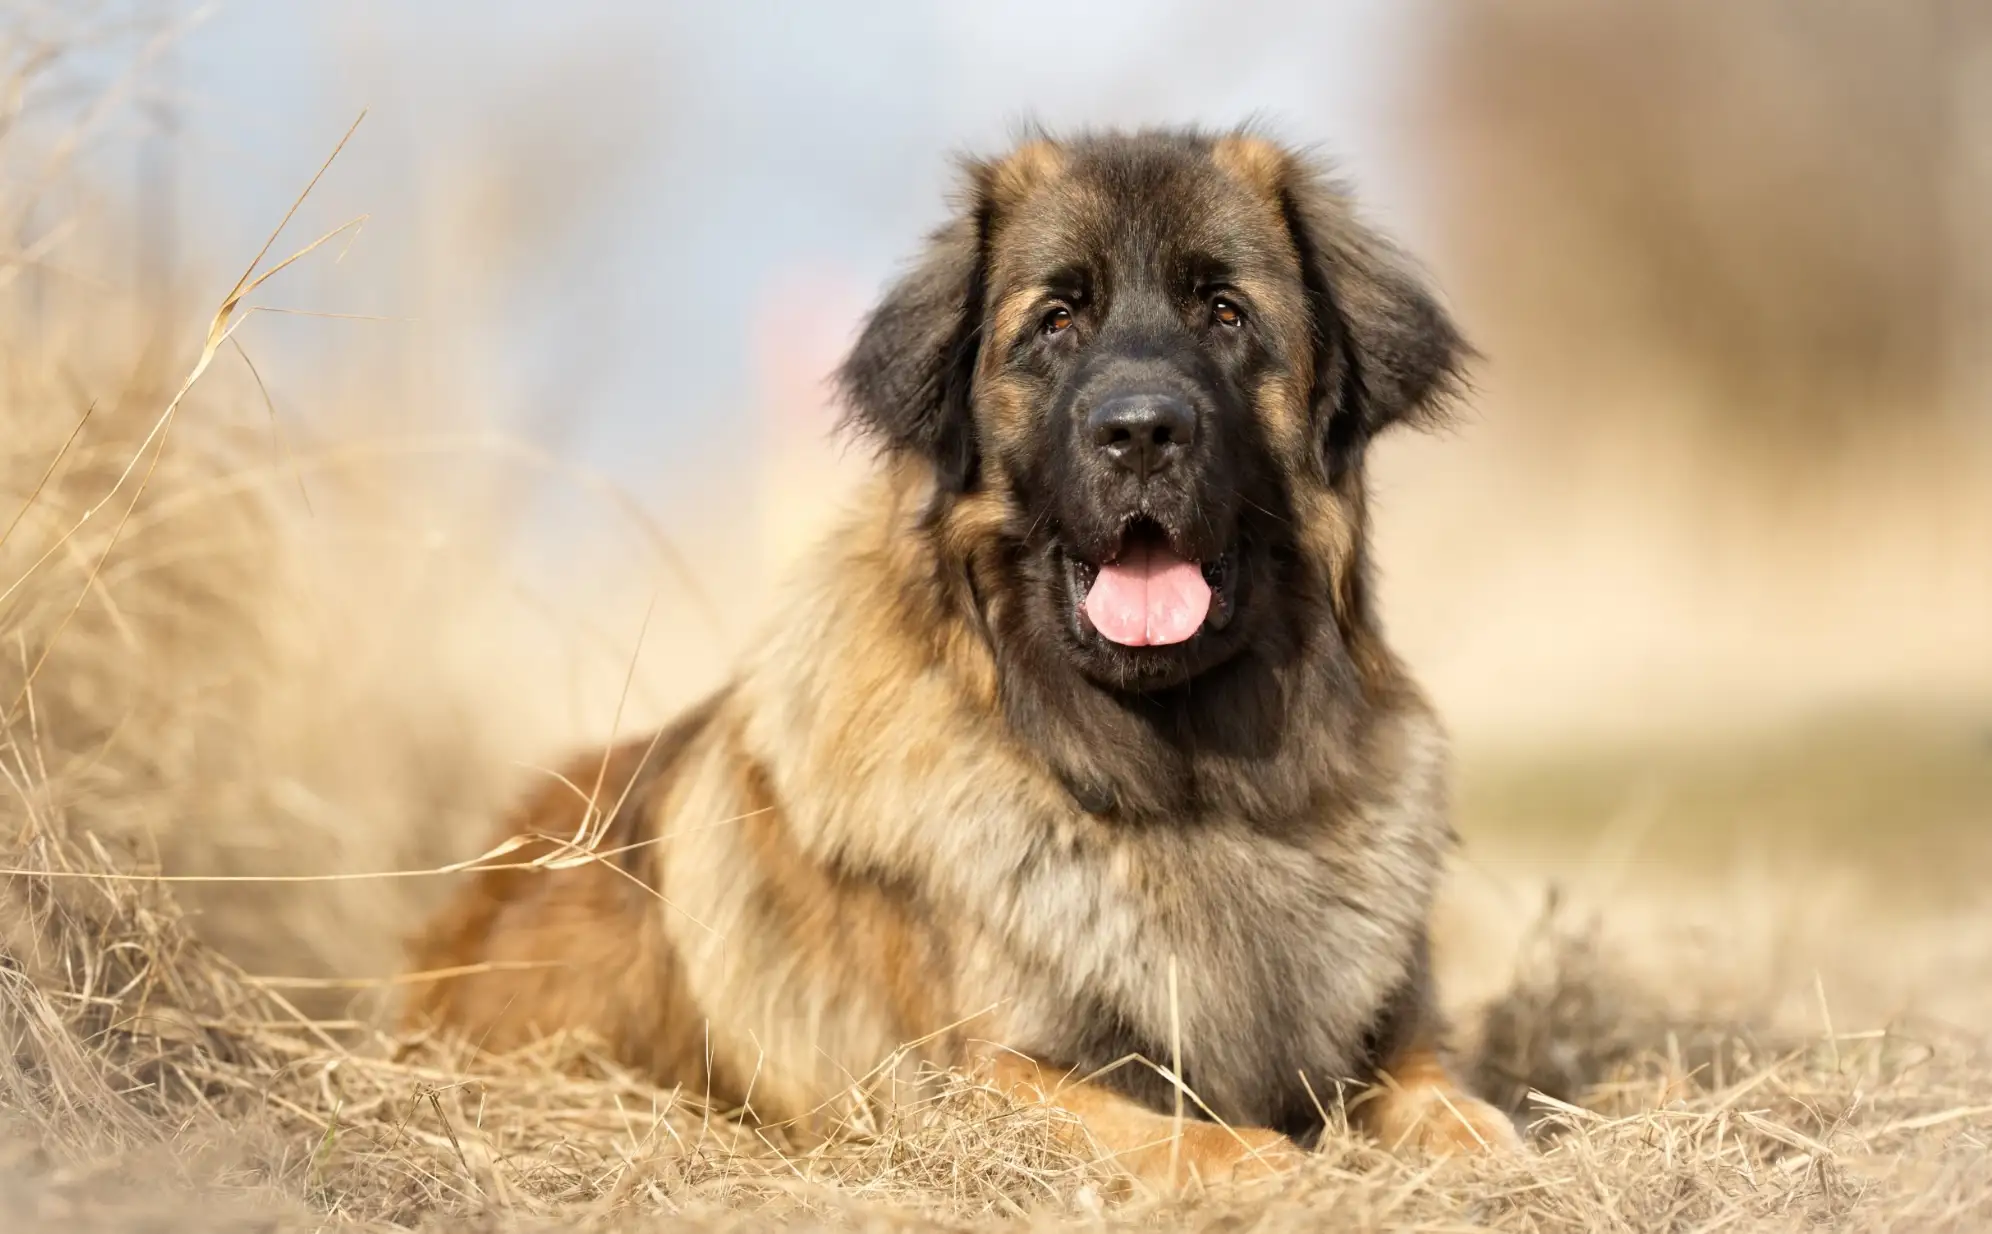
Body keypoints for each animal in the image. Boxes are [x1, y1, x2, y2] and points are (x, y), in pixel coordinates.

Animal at [408, 125, 1521, 1188]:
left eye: (1226, 313)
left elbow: (1453, 1102)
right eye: (1057, 321)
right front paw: (1257, 1161)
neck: (1179, 785)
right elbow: (1164, 1133)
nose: (1141, 433)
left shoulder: (1391, 1035)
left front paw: (1477, 1148)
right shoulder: (974, 1075)